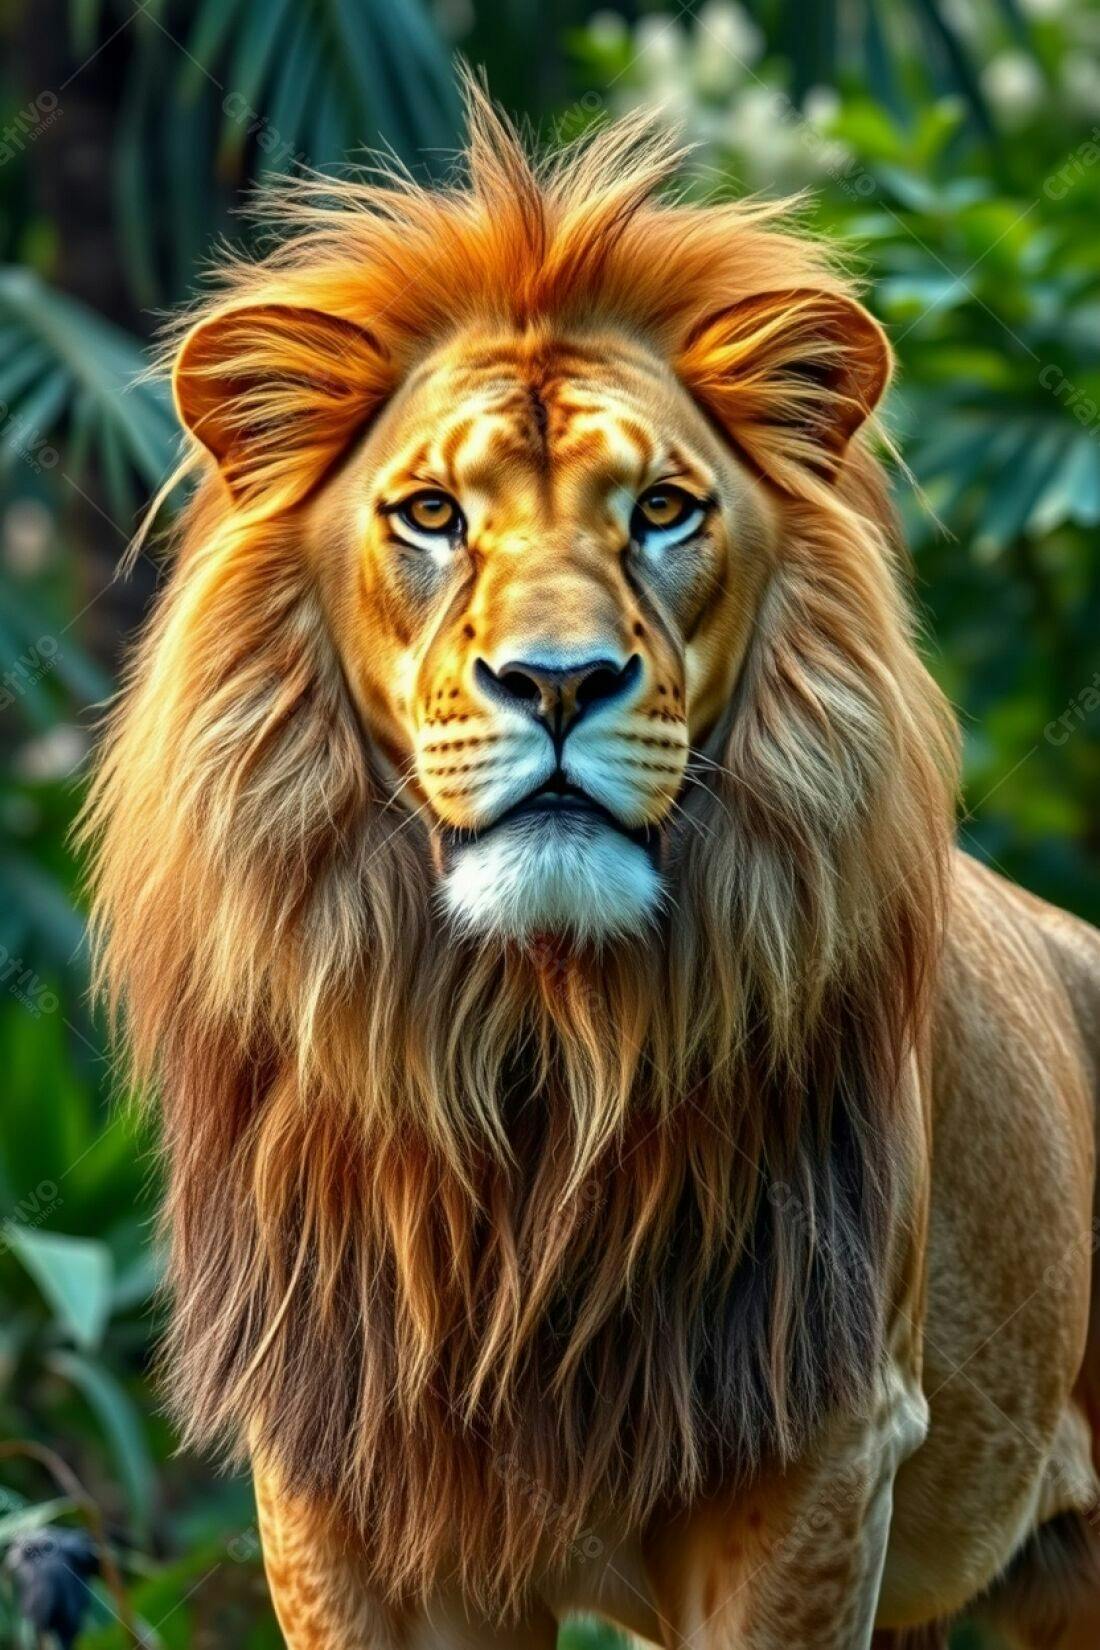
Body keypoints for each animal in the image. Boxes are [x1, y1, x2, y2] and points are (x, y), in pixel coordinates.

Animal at [81, 85, 1100, 1649]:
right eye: (432, 515)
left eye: (663, 511)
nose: (557, 681)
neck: (536, 1044)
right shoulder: (340, 1476)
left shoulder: (811, 1455)